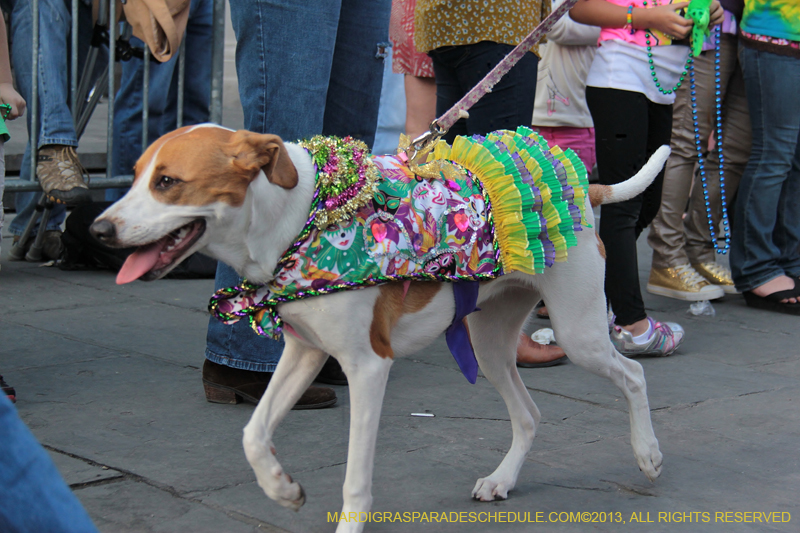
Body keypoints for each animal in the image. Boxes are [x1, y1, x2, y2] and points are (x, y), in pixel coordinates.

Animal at [92, 125, 668, 532]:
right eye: (136, 174)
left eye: (167, 182)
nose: (98, 230)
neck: (300, 218)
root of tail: (584, 189)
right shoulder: (303, 353)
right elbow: (253, 433)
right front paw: (283, 489)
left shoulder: (368, 366)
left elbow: (355, 481)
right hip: (488, 344)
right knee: (528, 415)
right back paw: (502, 480)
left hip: (579, 332)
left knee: (633, 375)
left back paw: (648, 455)